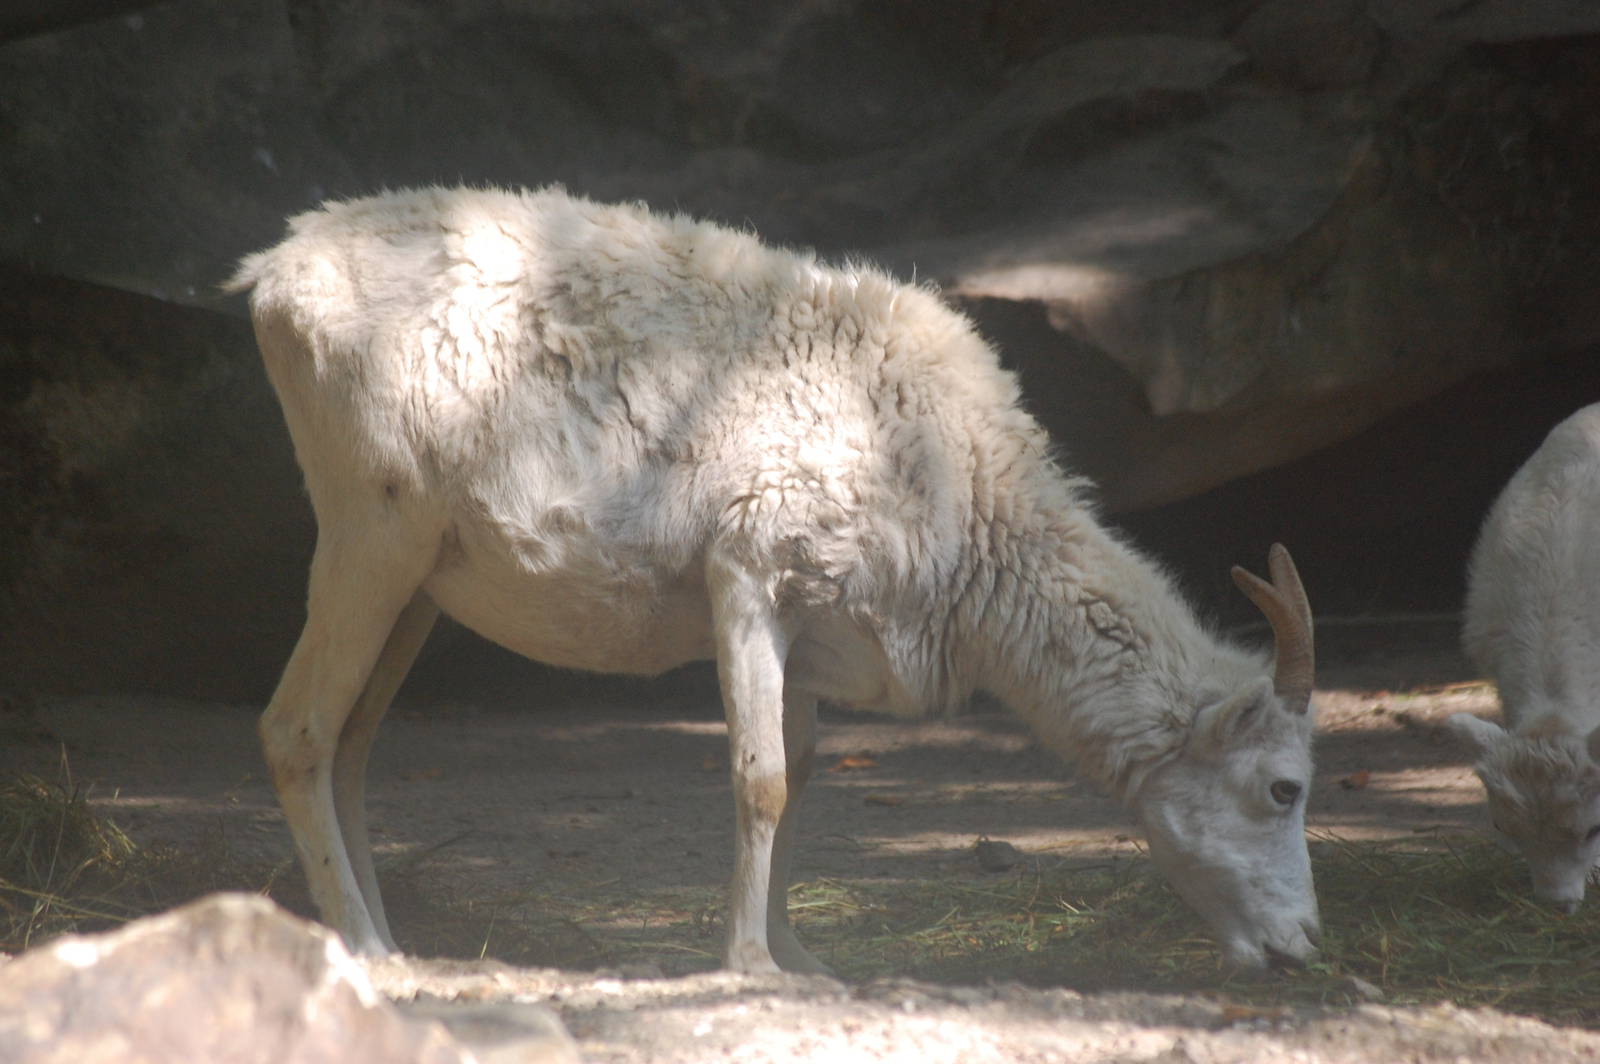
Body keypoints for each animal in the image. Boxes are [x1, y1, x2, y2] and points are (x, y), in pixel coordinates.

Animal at [226, 185, 1321, 972]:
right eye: (1284, 786)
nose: (1304, 947)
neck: (957, 484)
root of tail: (272, 277)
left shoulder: (810, 632)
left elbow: (803, 778)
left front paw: (806, 960)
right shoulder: (748, 578)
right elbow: (761, 778)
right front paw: (749, 964)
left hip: (417, 584)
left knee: (353, 747)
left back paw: (384, 937)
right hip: (370, 535)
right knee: (296, 730)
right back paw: (363, 947)